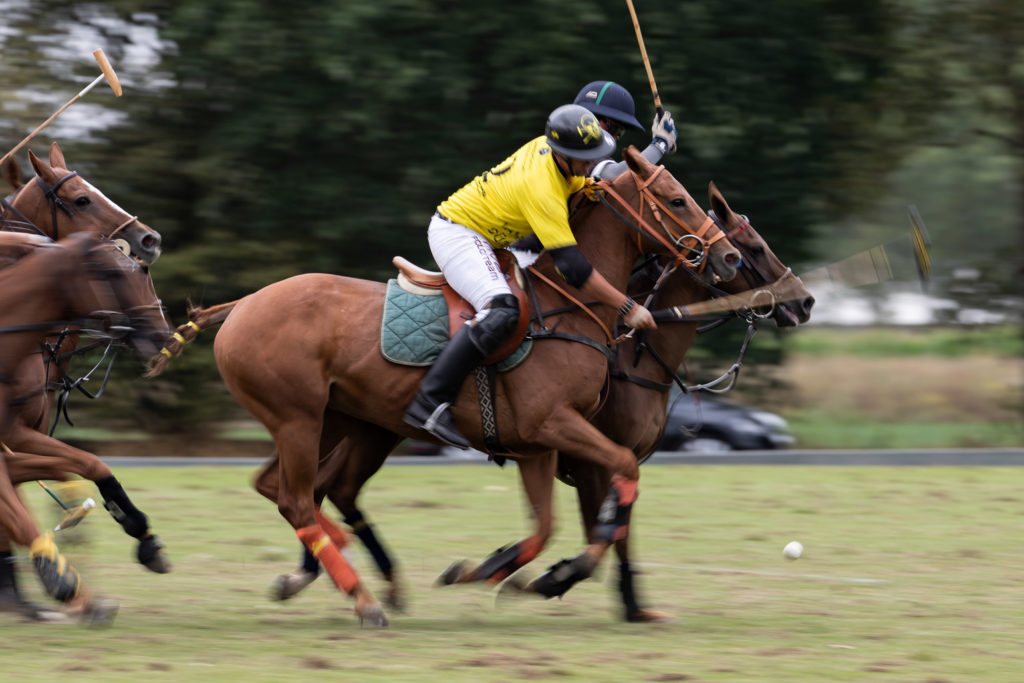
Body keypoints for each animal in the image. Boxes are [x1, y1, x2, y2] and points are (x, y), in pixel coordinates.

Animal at [149, 148, 737, 626]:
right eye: (677, 200)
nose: (728, 256)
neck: (567, 309)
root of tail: (242, 304)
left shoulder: (537, 444)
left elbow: (547, 525)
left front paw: (494, 571)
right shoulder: (555, 422)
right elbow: (622, 471)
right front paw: (557, 576)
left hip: (330, 420)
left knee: (286, 488)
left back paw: (342, 569)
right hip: (297, 418)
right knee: (297, 498)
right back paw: (364, 599)